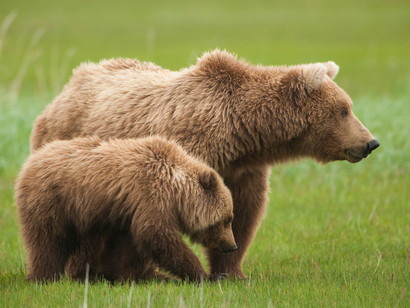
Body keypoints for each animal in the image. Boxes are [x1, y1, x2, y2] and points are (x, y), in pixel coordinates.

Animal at [30, 50, 380, 276]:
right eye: (344, 110)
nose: (370, 142)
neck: (240, 133)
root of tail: (69, 84)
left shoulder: (243, 169)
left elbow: (244, 213)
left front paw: (230, 271)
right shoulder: (188, 150)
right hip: (71, 155)